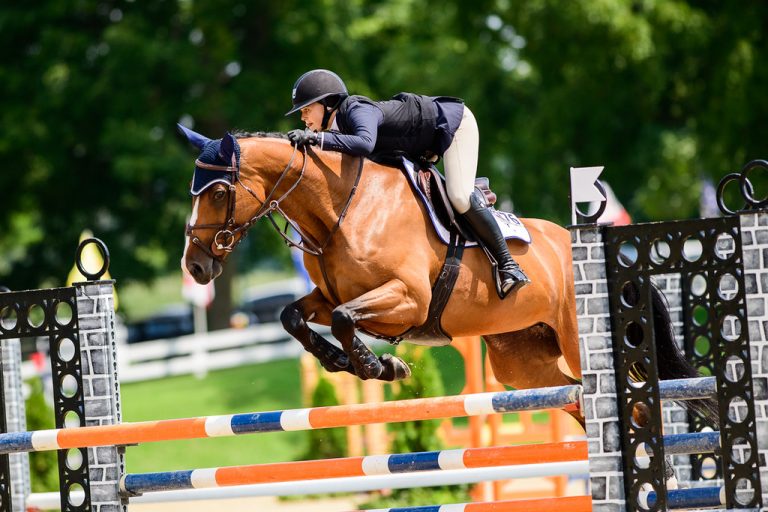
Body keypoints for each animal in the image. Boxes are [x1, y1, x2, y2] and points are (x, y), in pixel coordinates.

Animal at [179, 127, 714, 426]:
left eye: (219, 192)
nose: (196, 267)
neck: (340, 208)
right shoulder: (328, 295)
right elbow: (296, 316)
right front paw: (344, 362)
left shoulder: (408, 299)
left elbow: (346, 319)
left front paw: (382, 367)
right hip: (521, 362)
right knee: (581, 403)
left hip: (580, 343)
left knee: (632, 405)